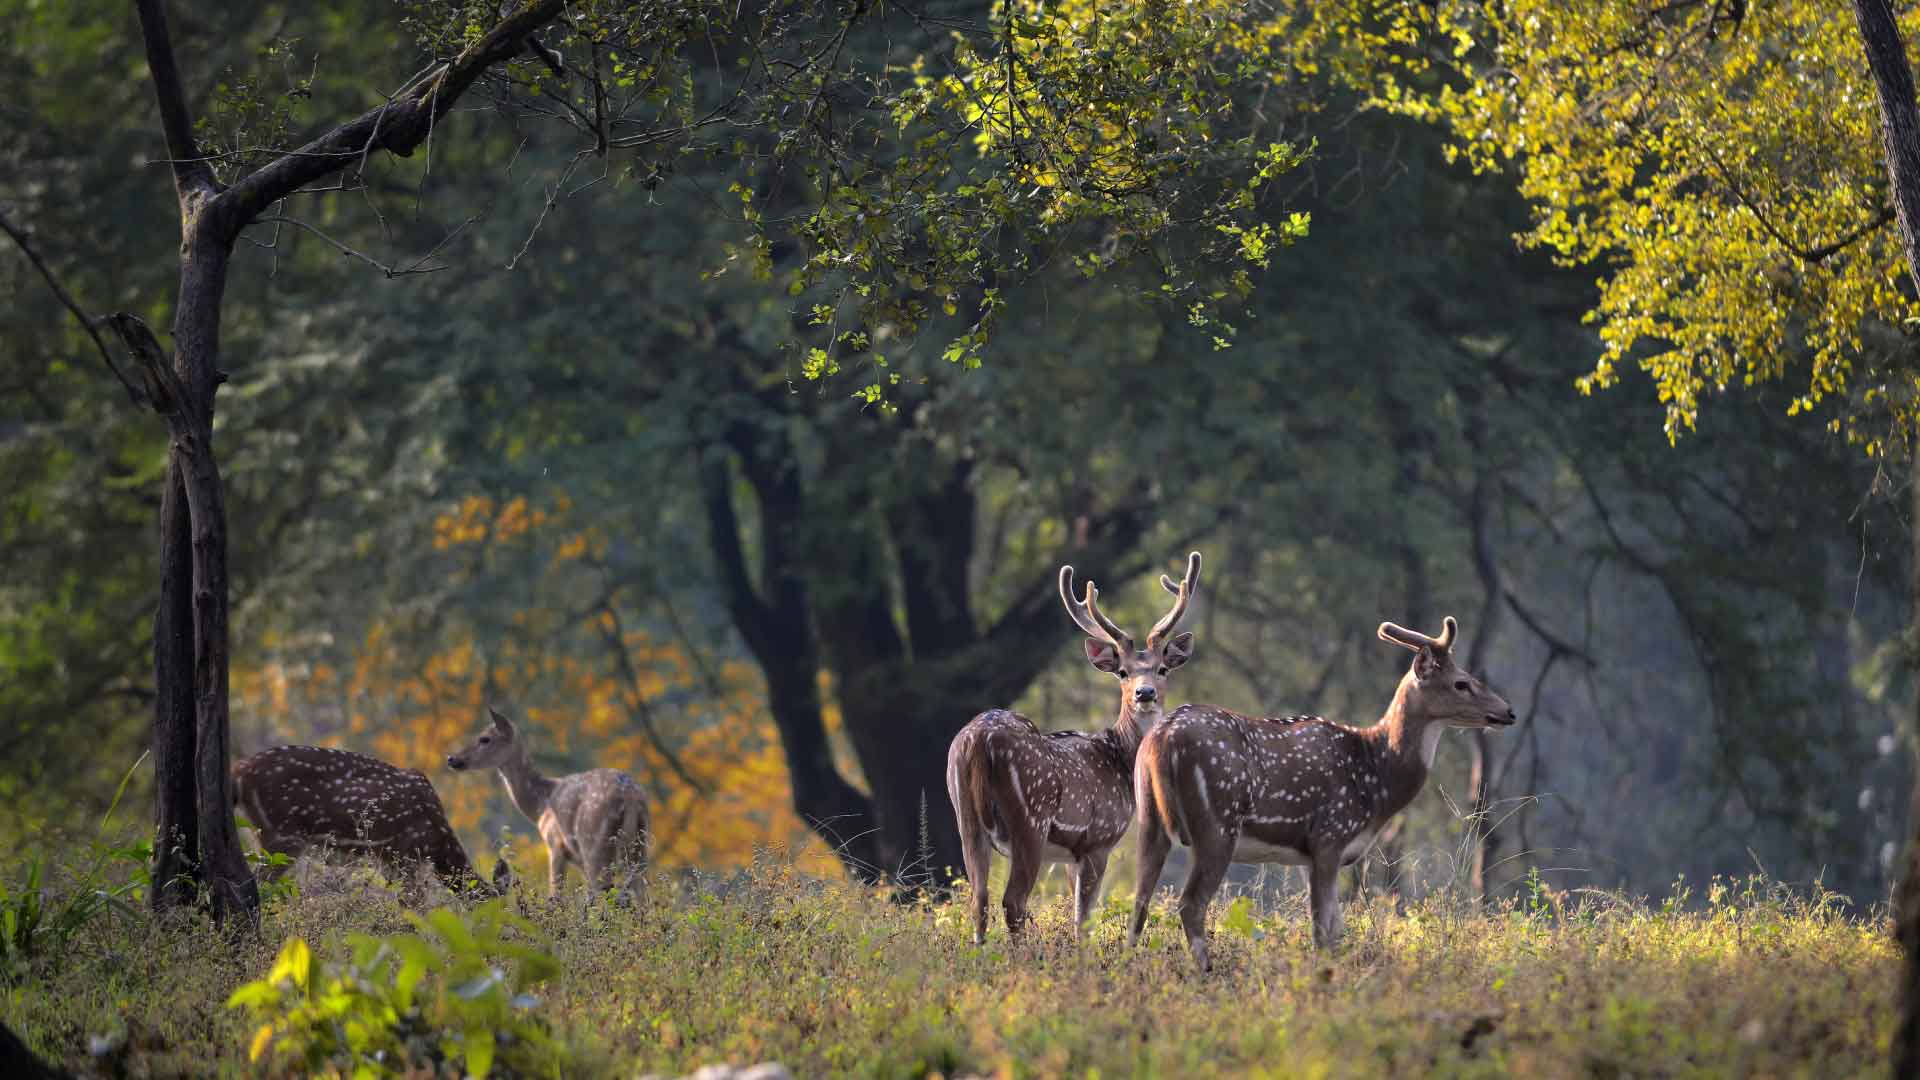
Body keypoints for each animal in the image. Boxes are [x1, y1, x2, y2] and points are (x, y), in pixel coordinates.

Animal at [230, 737, 510, 899]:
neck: (437, 842)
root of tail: (241, 771)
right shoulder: (404, 854)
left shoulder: (388, 860)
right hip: (284, 833)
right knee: (256, 882)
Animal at [443, 703, 648, 895]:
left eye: (485, 738)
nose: (451, 758)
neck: (540, 805)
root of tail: (630, 797)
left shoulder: (554, 844)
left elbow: (556, 897)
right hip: (639, 845)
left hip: (594, 843)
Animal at [944, 549, 1198, 937]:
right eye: (1122, 672)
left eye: (1162, 669)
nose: (1145, 693)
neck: (1120, 759)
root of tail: (976, 742)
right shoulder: (1098, 839)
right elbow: (1083, 921)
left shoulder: (1069, 855)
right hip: (1029, 820)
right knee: (1013, 902)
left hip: (965, 818)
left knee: (979, 900)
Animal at [1121, 614, 1512, 968]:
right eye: (1462, 683)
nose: (1508, 711)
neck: (1376, 779)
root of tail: (1163, 738)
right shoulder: (1330, 836)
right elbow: (1324, 931)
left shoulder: (1315, 853)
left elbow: (1334, 927)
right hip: (1217, 823)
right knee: (1190, 904)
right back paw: (1205, 971)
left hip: (1149, 819)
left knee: (1139, 900)